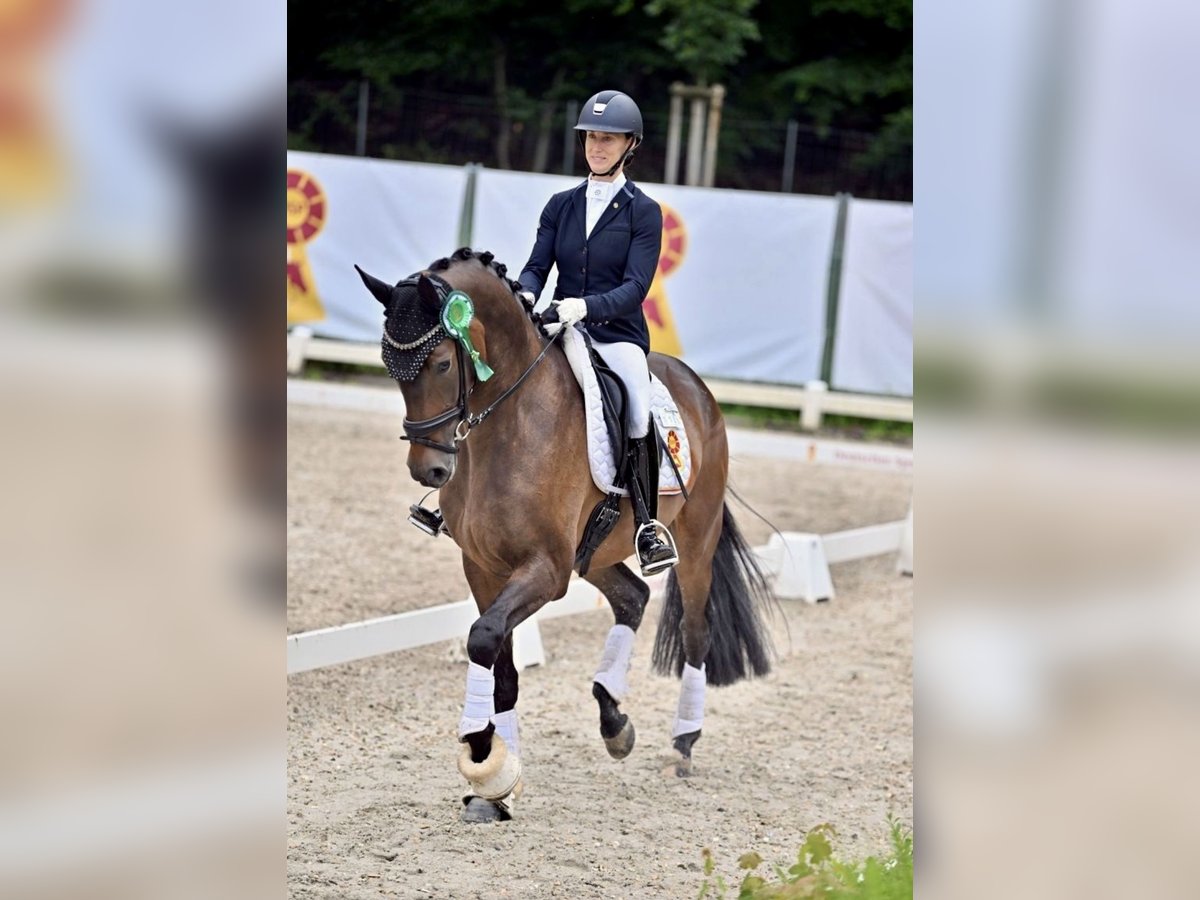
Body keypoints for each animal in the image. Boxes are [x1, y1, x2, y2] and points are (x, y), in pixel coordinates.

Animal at [355, 247, 773, 823]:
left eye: (441, 363)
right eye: (390, 367)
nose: (429, 471)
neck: (507, 422)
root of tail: (696, 386)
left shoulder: (546, 570)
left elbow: (482, 637)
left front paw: (481, 751)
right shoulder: (484, 568)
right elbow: (501, 667)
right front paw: (497, 790)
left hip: (696, 540)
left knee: (695, 631)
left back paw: (683, 745)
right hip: (594, 552)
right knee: (633, 596)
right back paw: (614, 723)